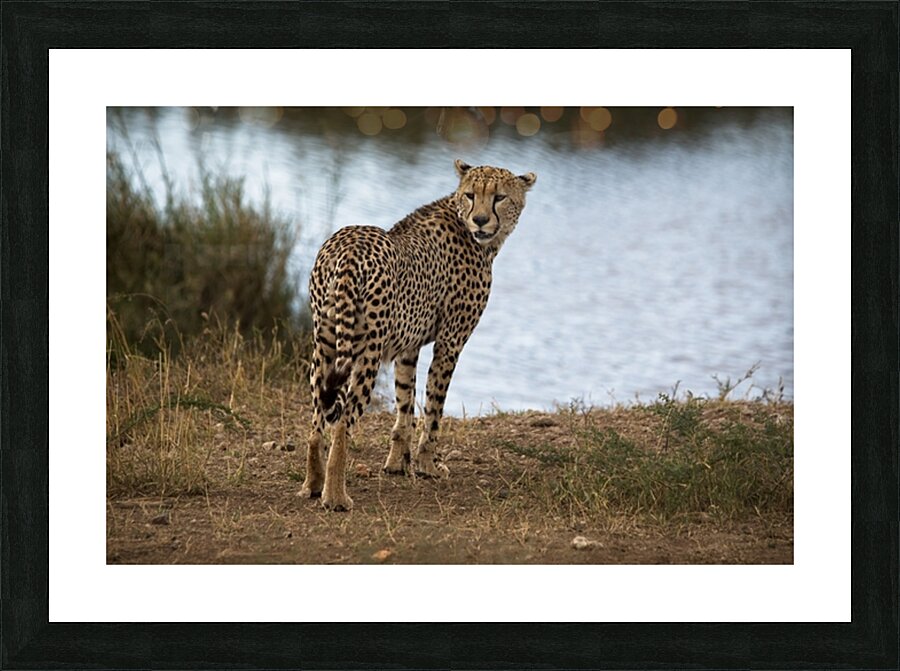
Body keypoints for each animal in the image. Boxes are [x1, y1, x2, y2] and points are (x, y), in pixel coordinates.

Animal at [300, 159, 536, 511]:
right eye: (471, 195)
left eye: (499, 197)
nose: (480, 220)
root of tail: (350, 243)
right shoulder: (450, 342)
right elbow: (434, 406)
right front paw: (427, 465)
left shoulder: (407, 348)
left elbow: (404, 404)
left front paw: (397, 463)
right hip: (366, 352)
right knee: (342, 421)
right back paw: (335, 496)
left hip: (324, 341)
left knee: (317, 416)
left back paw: (313, 484)